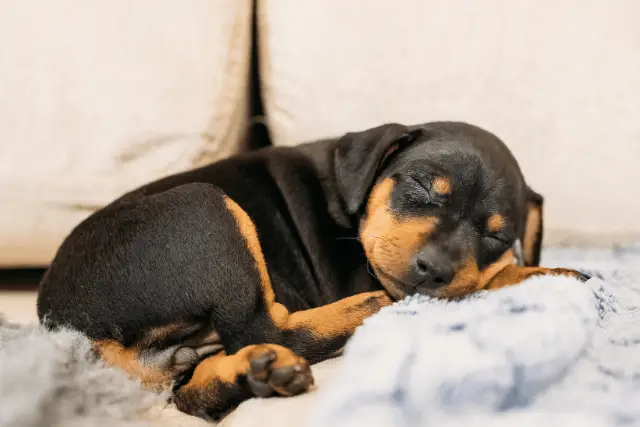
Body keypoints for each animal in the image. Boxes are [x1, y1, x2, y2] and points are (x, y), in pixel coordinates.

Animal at [33, 120, 584, 418]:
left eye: (496, 235)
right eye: (421, 188)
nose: (434, 270)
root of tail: (72, 332)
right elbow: (489, 279)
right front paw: (544, 273)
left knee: (200, 386)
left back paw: (257, 374)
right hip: (205, 207)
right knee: (266, 327)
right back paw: (361, 311)